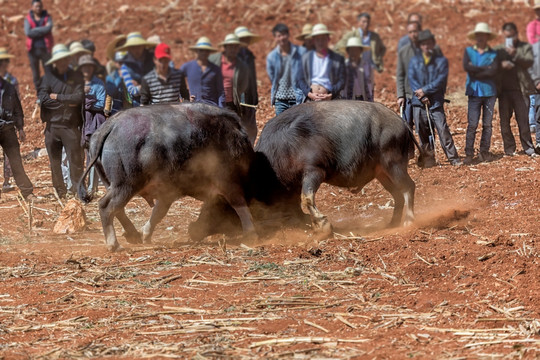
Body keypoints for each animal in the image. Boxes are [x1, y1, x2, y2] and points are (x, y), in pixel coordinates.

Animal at [76, 102, 260, 252]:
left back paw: (133, 234)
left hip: (113, 184)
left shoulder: (169, 192)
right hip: (126, 184)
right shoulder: (228, 182)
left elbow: (158, 212)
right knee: (107, 206)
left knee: (117, 209)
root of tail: (111, 125)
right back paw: (114, 244)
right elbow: (239, 204)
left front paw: (146, 234)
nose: (193, 231)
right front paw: (251, 232)